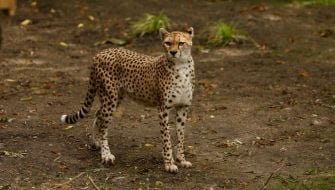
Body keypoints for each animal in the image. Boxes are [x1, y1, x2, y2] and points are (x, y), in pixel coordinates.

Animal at [61, 27, 196, 173]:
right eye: (168, 43)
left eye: (181, 43)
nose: (173, 52)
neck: (181, 66)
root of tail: (101, 52)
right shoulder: (163, 109)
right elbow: (166, 138)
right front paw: (169, 163)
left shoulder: (183, 107)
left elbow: (181, 136)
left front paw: (181, 160)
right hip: (110, 98)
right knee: (103, 124)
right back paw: (106, 154)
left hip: (115, 97)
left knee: (98, 114)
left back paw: (95, 143)